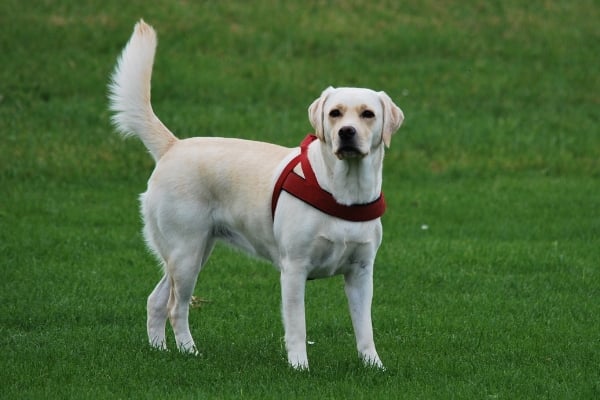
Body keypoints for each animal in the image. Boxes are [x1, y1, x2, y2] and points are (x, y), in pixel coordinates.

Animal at [110, 19, 406, 368]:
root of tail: (173, 145)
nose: (346, 133)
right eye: (335, 113)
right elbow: (298, 326)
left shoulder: (361, 273)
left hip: (191, 252)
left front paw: (374, 366)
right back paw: (190, 352)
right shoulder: (294, 269)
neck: (344, 191)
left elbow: (365, 329)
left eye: (367, 114)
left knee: (155, 300)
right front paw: (299, 366)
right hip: (186, 253)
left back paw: (160, 350)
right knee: (175, 307)